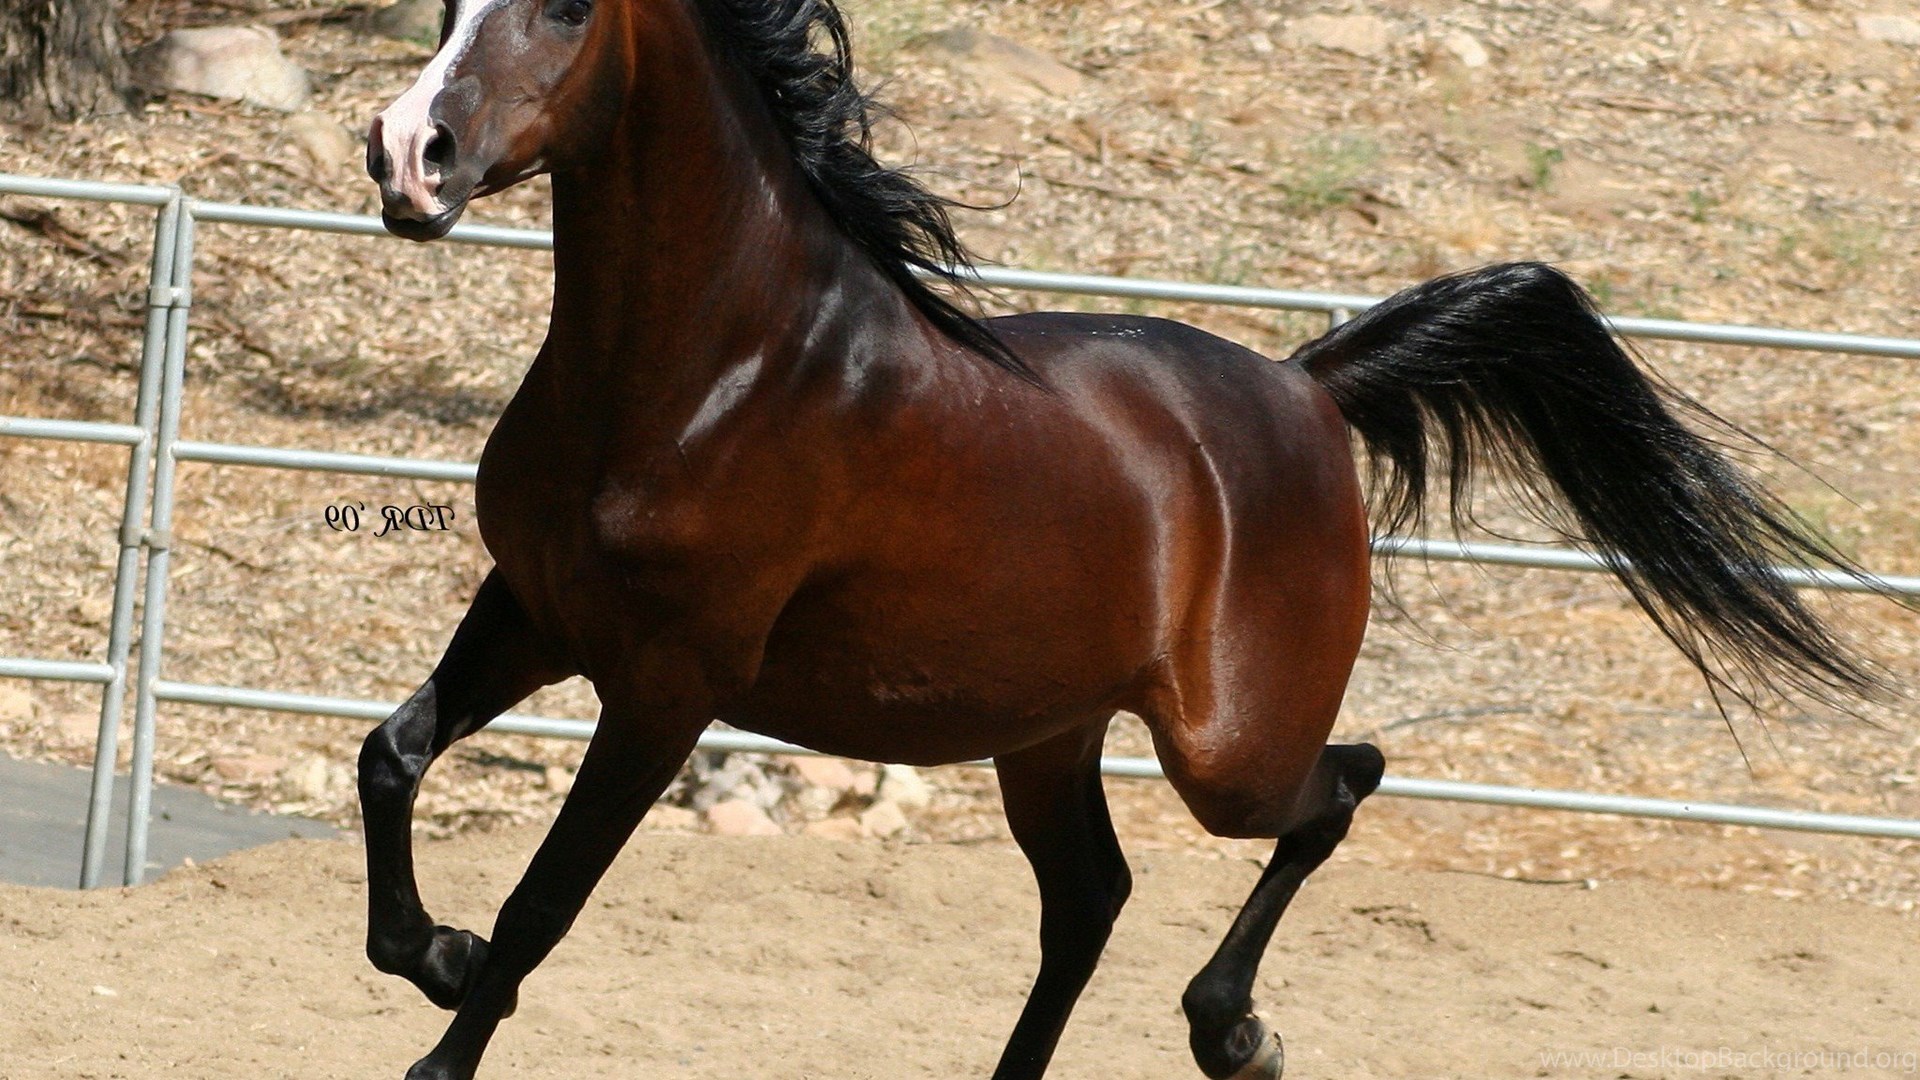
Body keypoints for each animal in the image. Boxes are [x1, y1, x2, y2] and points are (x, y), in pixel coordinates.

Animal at [358, 1, 1882, 1077]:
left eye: (566, 6)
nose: (408, 157)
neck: (715, 370)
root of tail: (1310, 389)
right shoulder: (534, 612)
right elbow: (393, 758)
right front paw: (434, 949)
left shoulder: (667, 684)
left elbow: (545, 906)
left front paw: (453, 1001)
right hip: (1046, 729)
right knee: (1092, 896)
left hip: (1226, 752)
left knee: (1340, 785)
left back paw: (1237, 1035)